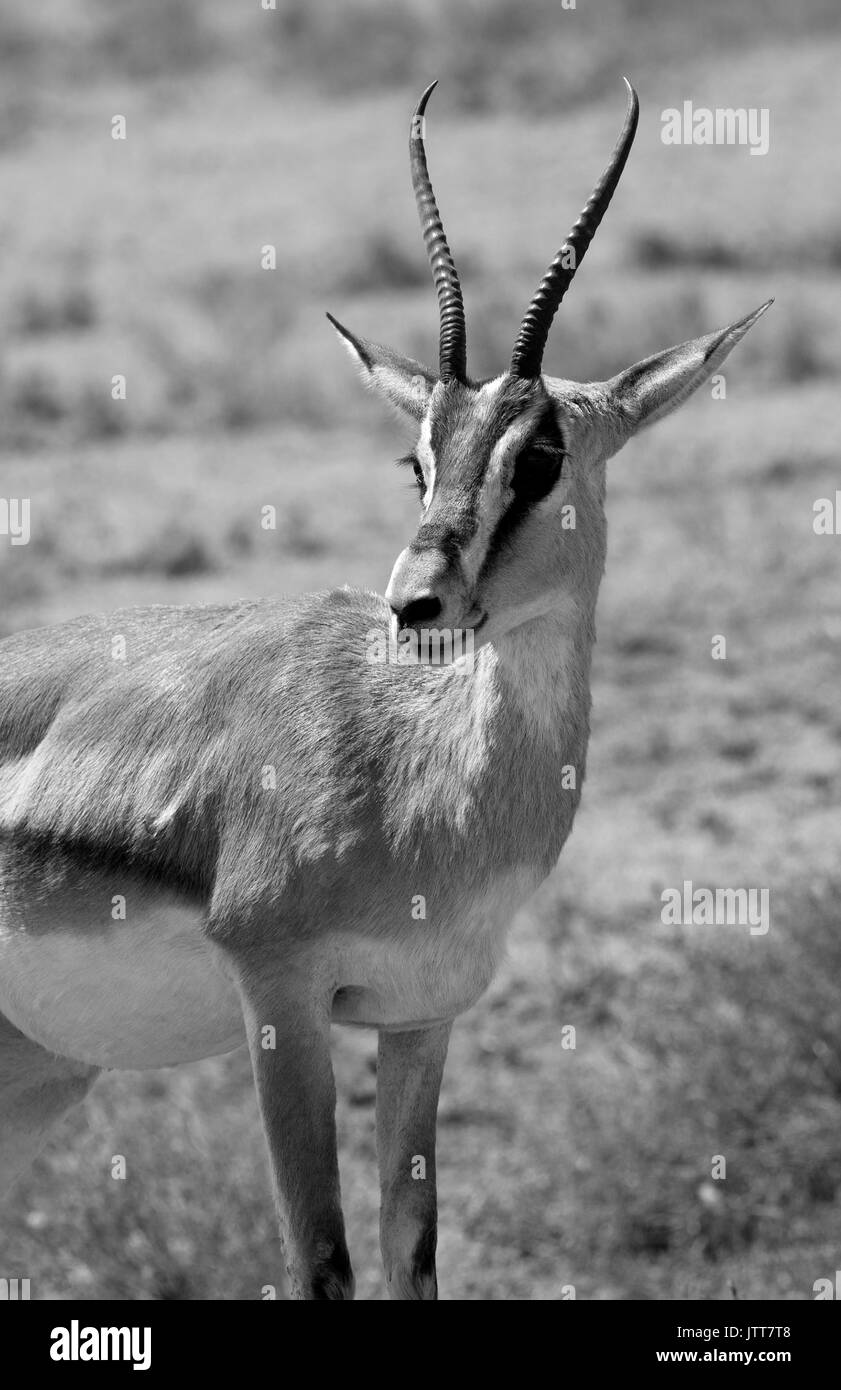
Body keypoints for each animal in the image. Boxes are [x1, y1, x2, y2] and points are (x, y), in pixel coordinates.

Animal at [0, 80, 770, 1301]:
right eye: (418, 460)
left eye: (538, 458)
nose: (414, 603)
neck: (420, 787)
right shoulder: (284, 1006)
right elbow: (321, 1261)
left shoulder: (422, 1017)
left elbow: (414, 1250)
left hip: (36, 1069)